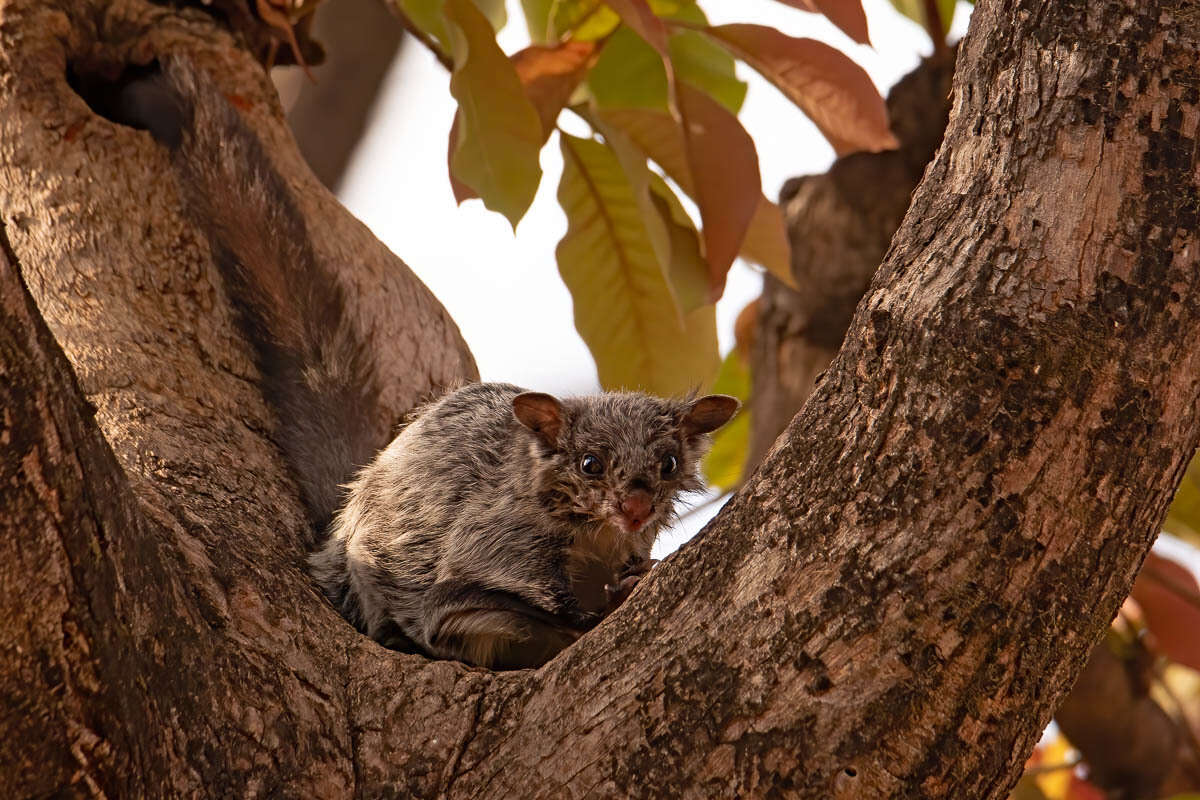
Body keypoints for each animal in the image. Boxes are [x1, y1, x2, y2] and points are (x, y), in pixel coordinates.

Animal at [112, 57, 734, 671]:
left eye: (669, 464)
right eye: (589, 464)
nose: (636, 506)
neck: (595, 540)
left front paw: (637, 571)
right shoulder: (500, 532)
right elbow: (498, 570)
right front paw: (587, 611)